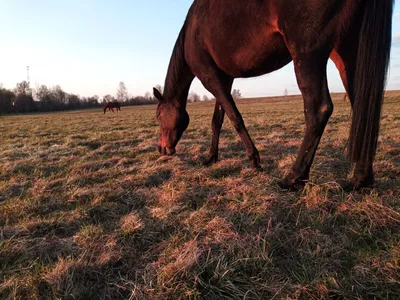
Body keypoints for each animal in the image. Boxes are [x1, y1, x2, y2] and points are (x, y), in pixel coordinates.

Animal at [154, 0, 394, 190]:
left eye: (157, 116)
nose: (161, 148)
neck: (191, 32)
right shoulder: (224, 78)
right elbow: (218, 120)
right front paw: (211, 157)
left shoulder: (210, 77)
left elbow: (235, 118)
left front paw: (254, 160)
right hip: (347, 52)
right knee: (362, 108)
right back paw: (361, 179)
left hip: (307, 54)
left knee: (319, 110)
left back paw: (293, 178)